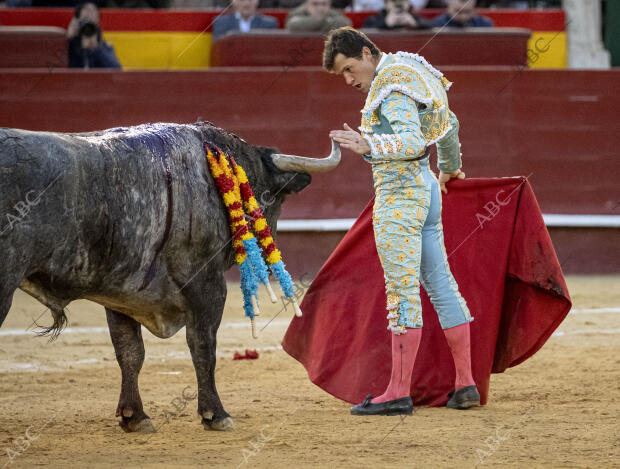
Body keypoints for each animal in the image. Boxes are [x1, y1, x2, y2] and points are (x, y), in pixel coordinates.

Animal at [0, 120, 340, 432]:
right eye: (271, 195)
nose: (271, 233)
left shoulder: (120, 293)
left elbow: (130, 352)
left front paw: (134, 417)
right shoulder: (207, 285)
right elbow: (202, 346)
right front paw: (215, 414)